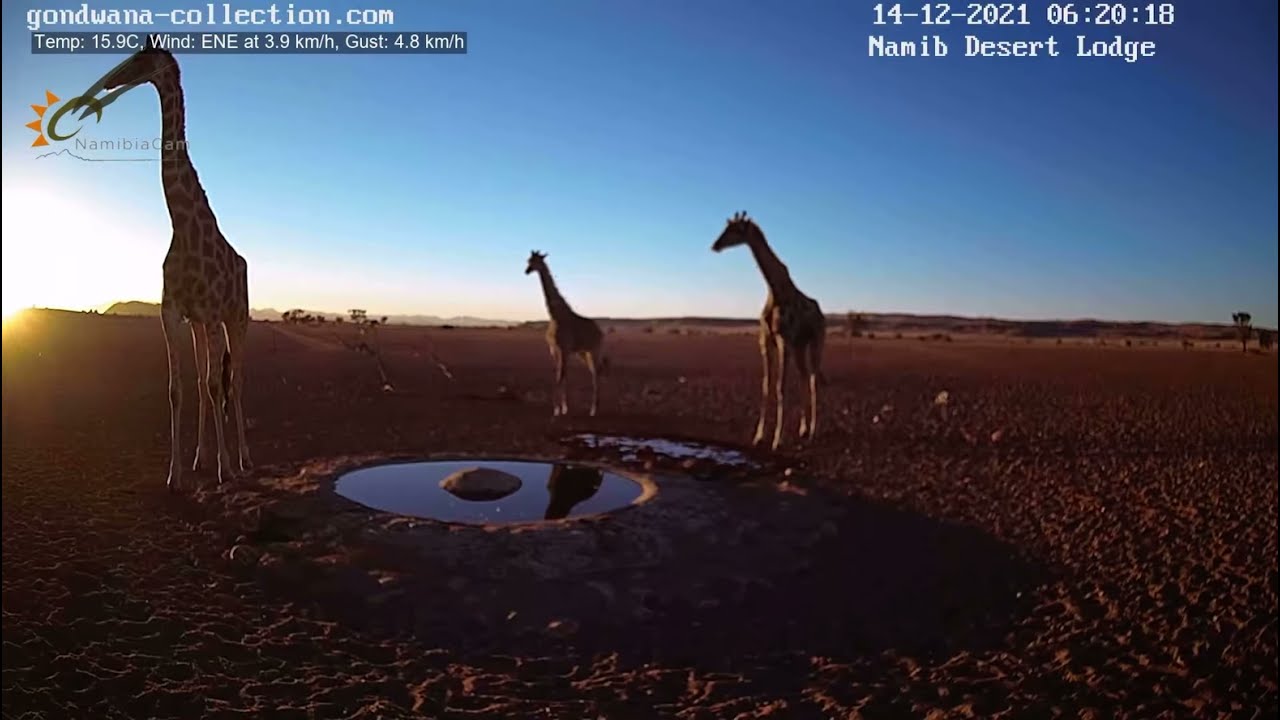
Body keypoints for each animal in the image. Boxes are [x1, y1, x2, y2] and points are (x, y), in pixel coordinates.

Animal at [100, 39, 252, 490]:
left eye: (140, 57)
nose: (111, 80)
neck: (181, 224)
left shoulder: (215, 313)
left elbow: (219, 386)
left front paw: (225, 468)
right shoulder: (173, 311)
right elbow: (179, 388)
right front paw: (177, 474)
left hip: (237, 319)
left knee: (235, 381)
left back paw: (243, 459)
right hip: (202, 324)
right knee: (206, 382)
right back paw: (203, 458)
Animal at [524, 251, 608, 417]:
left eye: (537, 261)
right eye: (528, 260)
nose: (527, 271)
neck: (555, 315)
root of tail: (600, 332)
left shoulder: (564, 349)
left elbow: (561, 375)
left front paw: (558, 410)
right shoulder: (555, 350)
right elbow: (560, 375)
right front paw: (563, 408)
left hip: (594, 351)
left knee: (596, 374)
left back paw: (594, 410)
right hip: (583, 353)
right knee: (595, 372)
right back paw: (593, 408)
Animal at [712, 211, 827, 451]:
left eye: (735, 230)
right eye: (726, 228)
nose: (715, 245)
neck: (774, 289)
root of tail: (821, 314)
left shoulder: (784, 340)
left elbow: (780, 387)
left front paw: (777, 440)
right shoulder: (766, 340)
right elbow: (767, 385)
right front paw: (759, 436)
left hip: (816, 341)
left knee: (813, 379)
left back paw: (813, 431)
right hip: (800, 346)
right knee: (804, 376)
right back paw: (803, 429)